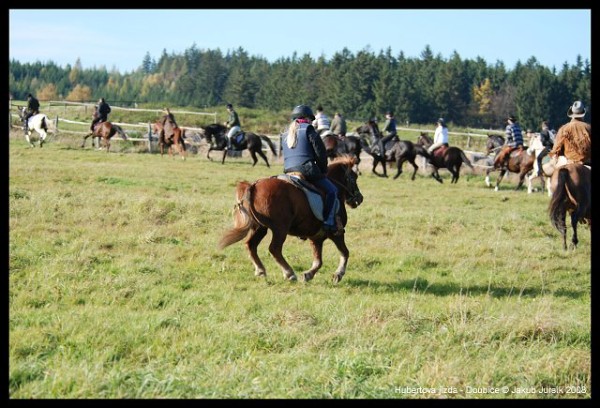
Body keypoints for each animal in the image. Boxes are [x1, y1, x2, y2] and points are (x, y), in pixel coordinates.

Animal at [218, 156, 364, 284]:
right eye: (354, 177)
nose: (360, 198)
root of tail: (253, 186)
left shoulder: (316, 237)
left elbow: (318, 260)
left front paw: (308, 274)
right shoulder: (336, 234)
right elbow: (344, 252)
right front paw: (338, 274)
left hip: (260, 228)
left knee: (250, 245)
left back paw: (261, 270)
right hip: (280, 229)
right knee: (274, 249)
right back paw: (289, 273)